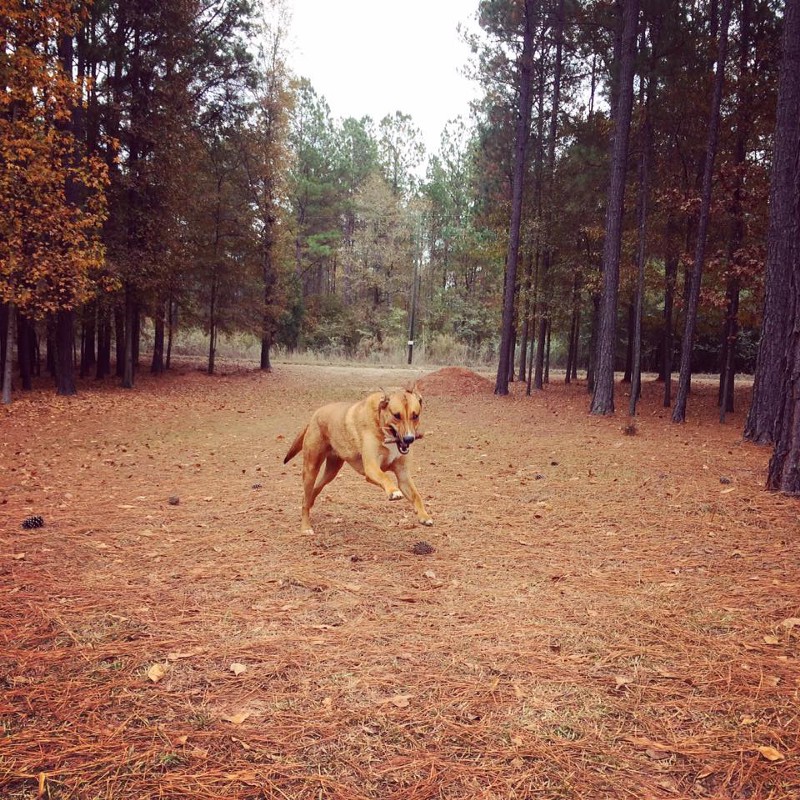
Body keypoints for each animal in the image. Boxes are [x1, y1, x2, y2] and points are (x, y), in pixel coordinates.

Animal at [282, 384, 432, 536]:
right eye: (396, 415)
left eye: (415, 416)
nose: (409, 439)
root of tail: (314, 416)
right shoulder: (371, 468)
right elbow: (385, 477)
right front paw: (393, 491)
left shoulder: (403, 476)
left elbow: (417, 496)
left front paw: (424, 516)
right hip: (311, 469)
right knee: (305, 499)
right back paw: (305, 527)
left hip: (331, 472)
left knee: (313, 492)